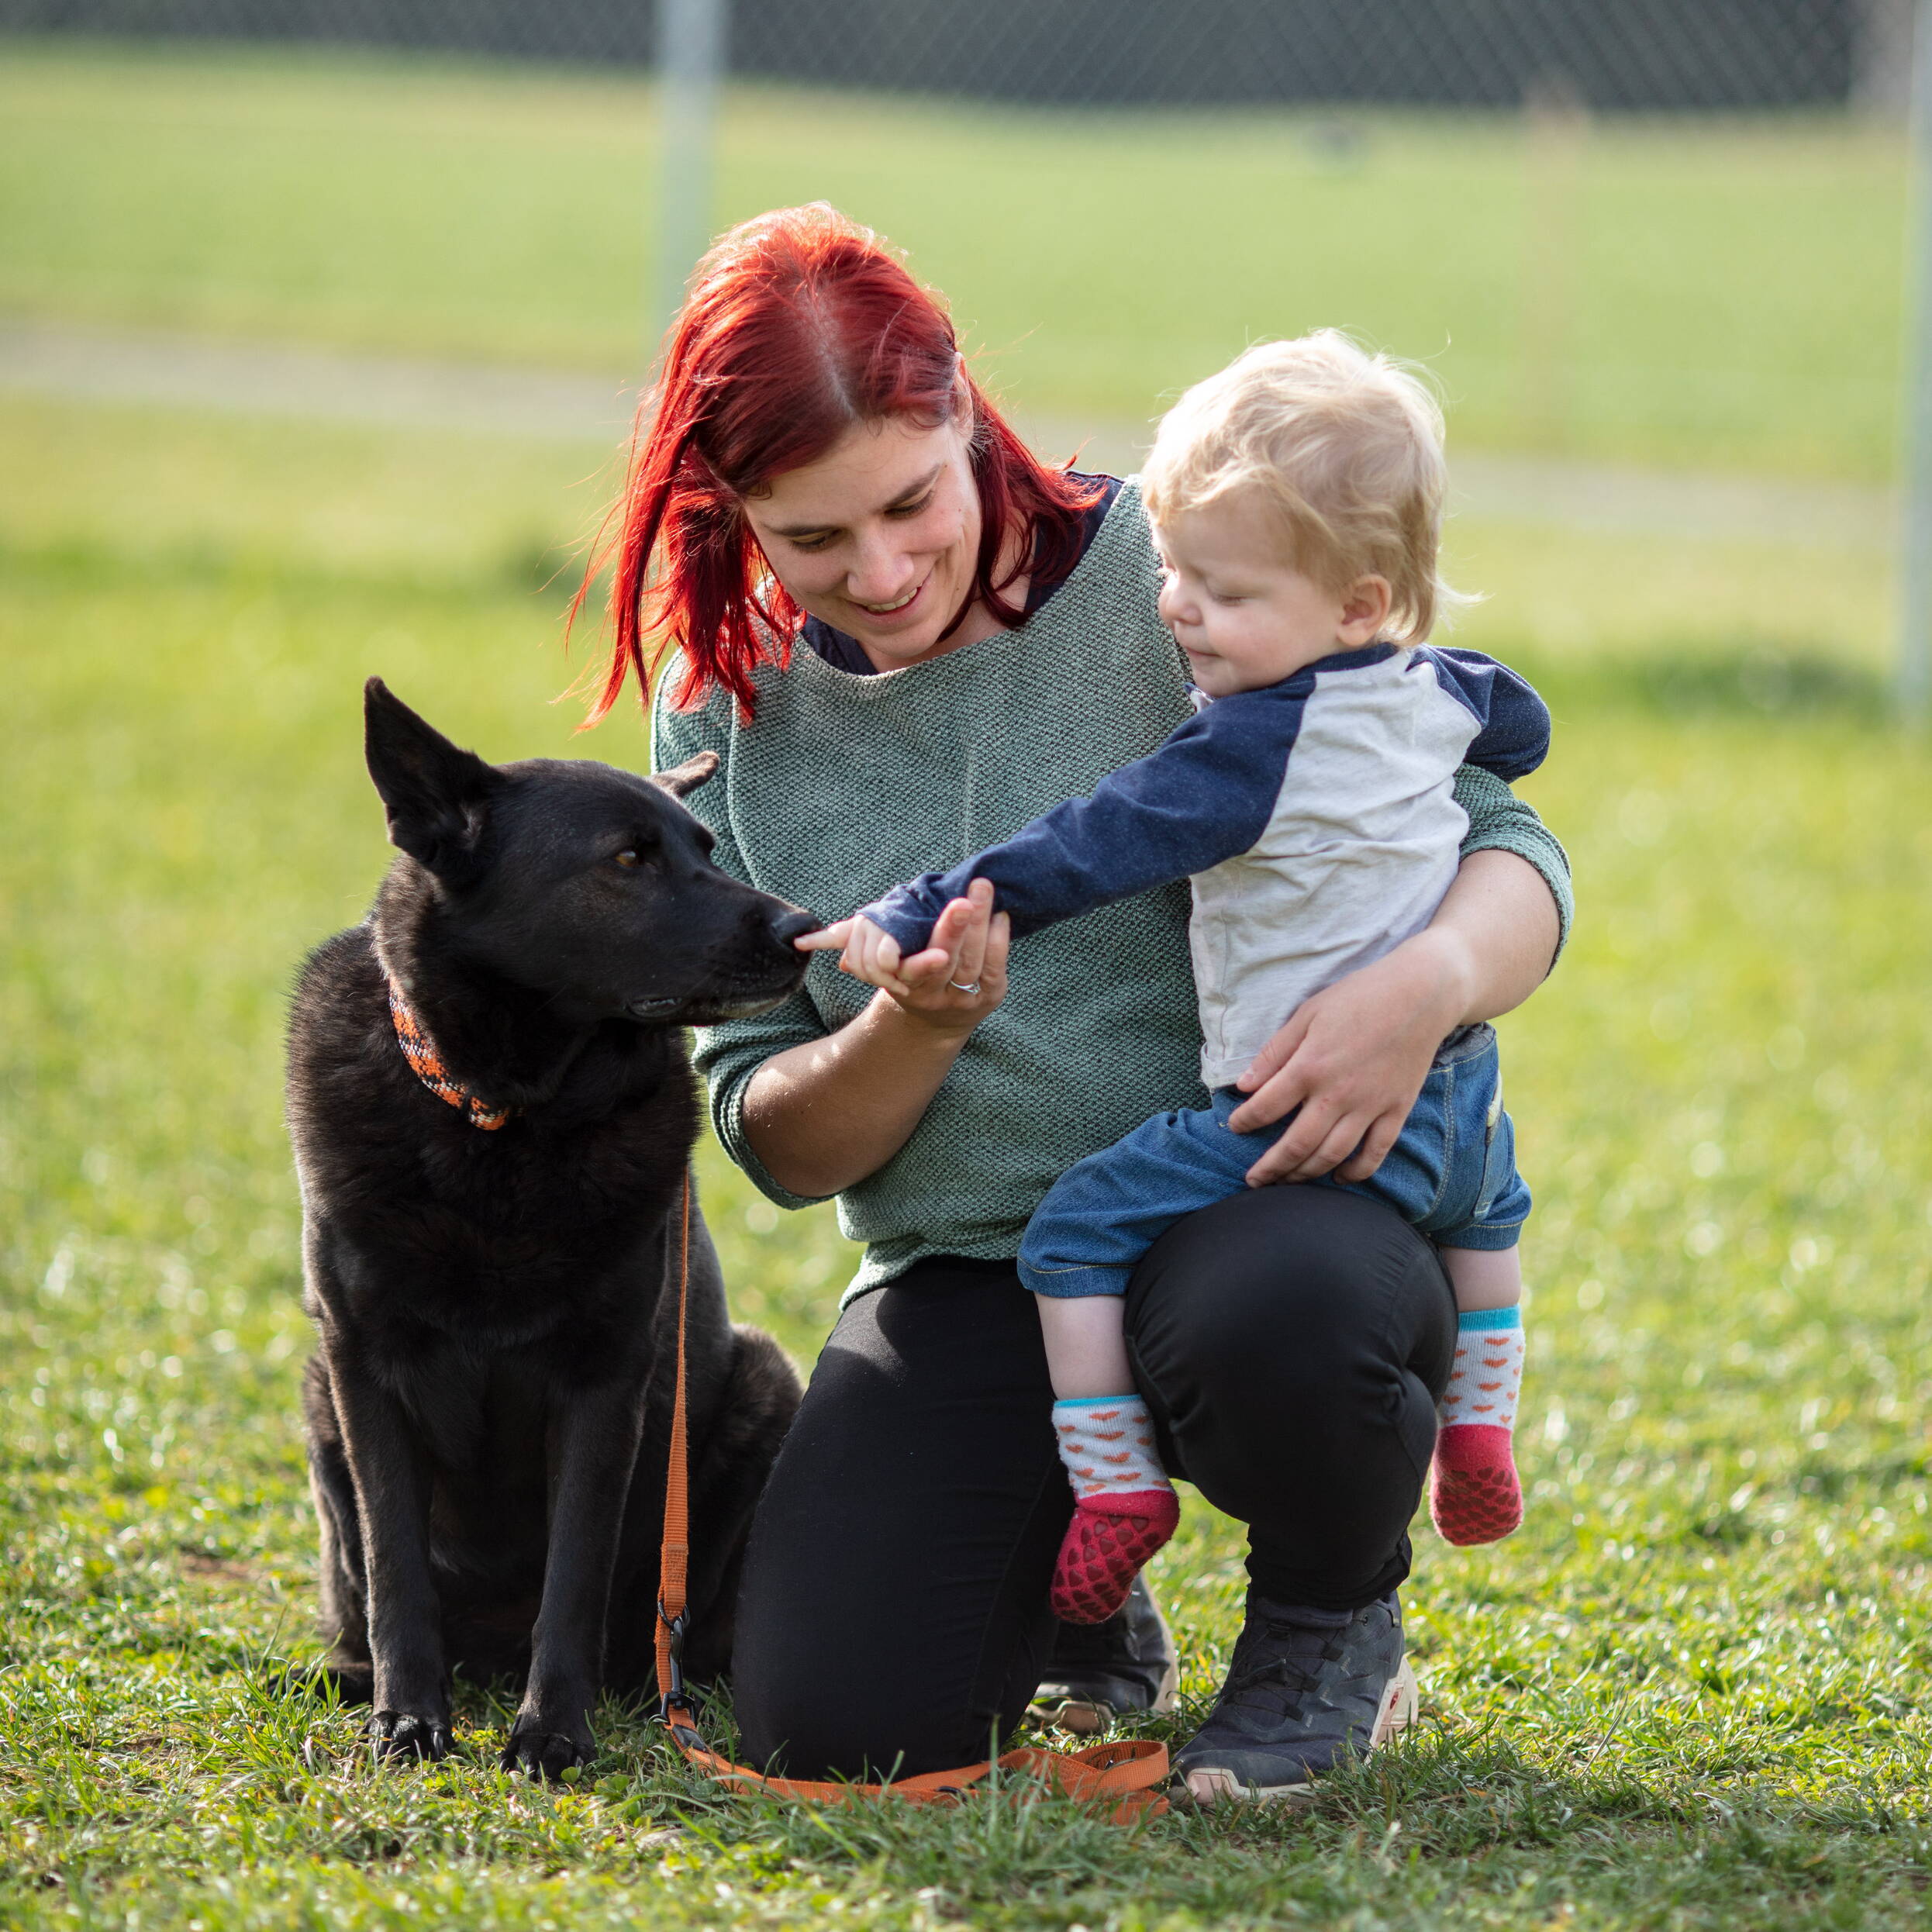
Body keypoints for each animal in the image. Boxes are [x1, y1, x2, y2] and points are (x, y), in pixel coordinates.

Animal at [284, 680, 807, 1777]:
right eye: (629, 857)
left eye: (704, 846)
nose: (803, 925)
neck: (504, 1119)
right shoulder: (362, 1365)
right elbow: (393, 1566)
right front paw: (407, 1714)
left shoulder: (605, 1376)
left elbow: (573, 1574)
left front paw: (553, 1729)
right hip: (316, 1398)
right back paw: (347, 1674)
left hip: (762, 1379)